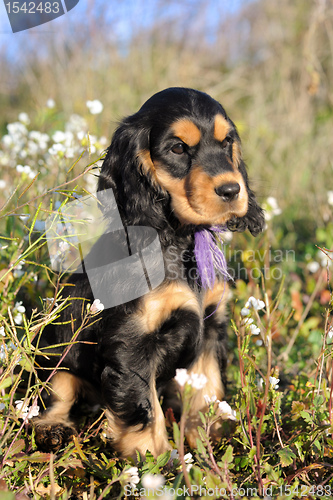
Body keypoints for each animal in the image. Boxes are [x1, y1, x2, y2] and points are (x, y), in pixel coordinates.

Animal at [33, 89, 262, 458]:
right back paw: (53, 430)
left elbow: (208, 388)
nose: (231, 190)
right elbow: (143, 408)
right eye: (178, 148)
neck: (179, 237)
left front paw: (211, 441)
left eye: (227, 142)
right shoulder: (133, 342)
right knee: (52, 397)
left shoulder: (210, 328)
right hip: (56, 355)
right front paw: (158, 461)